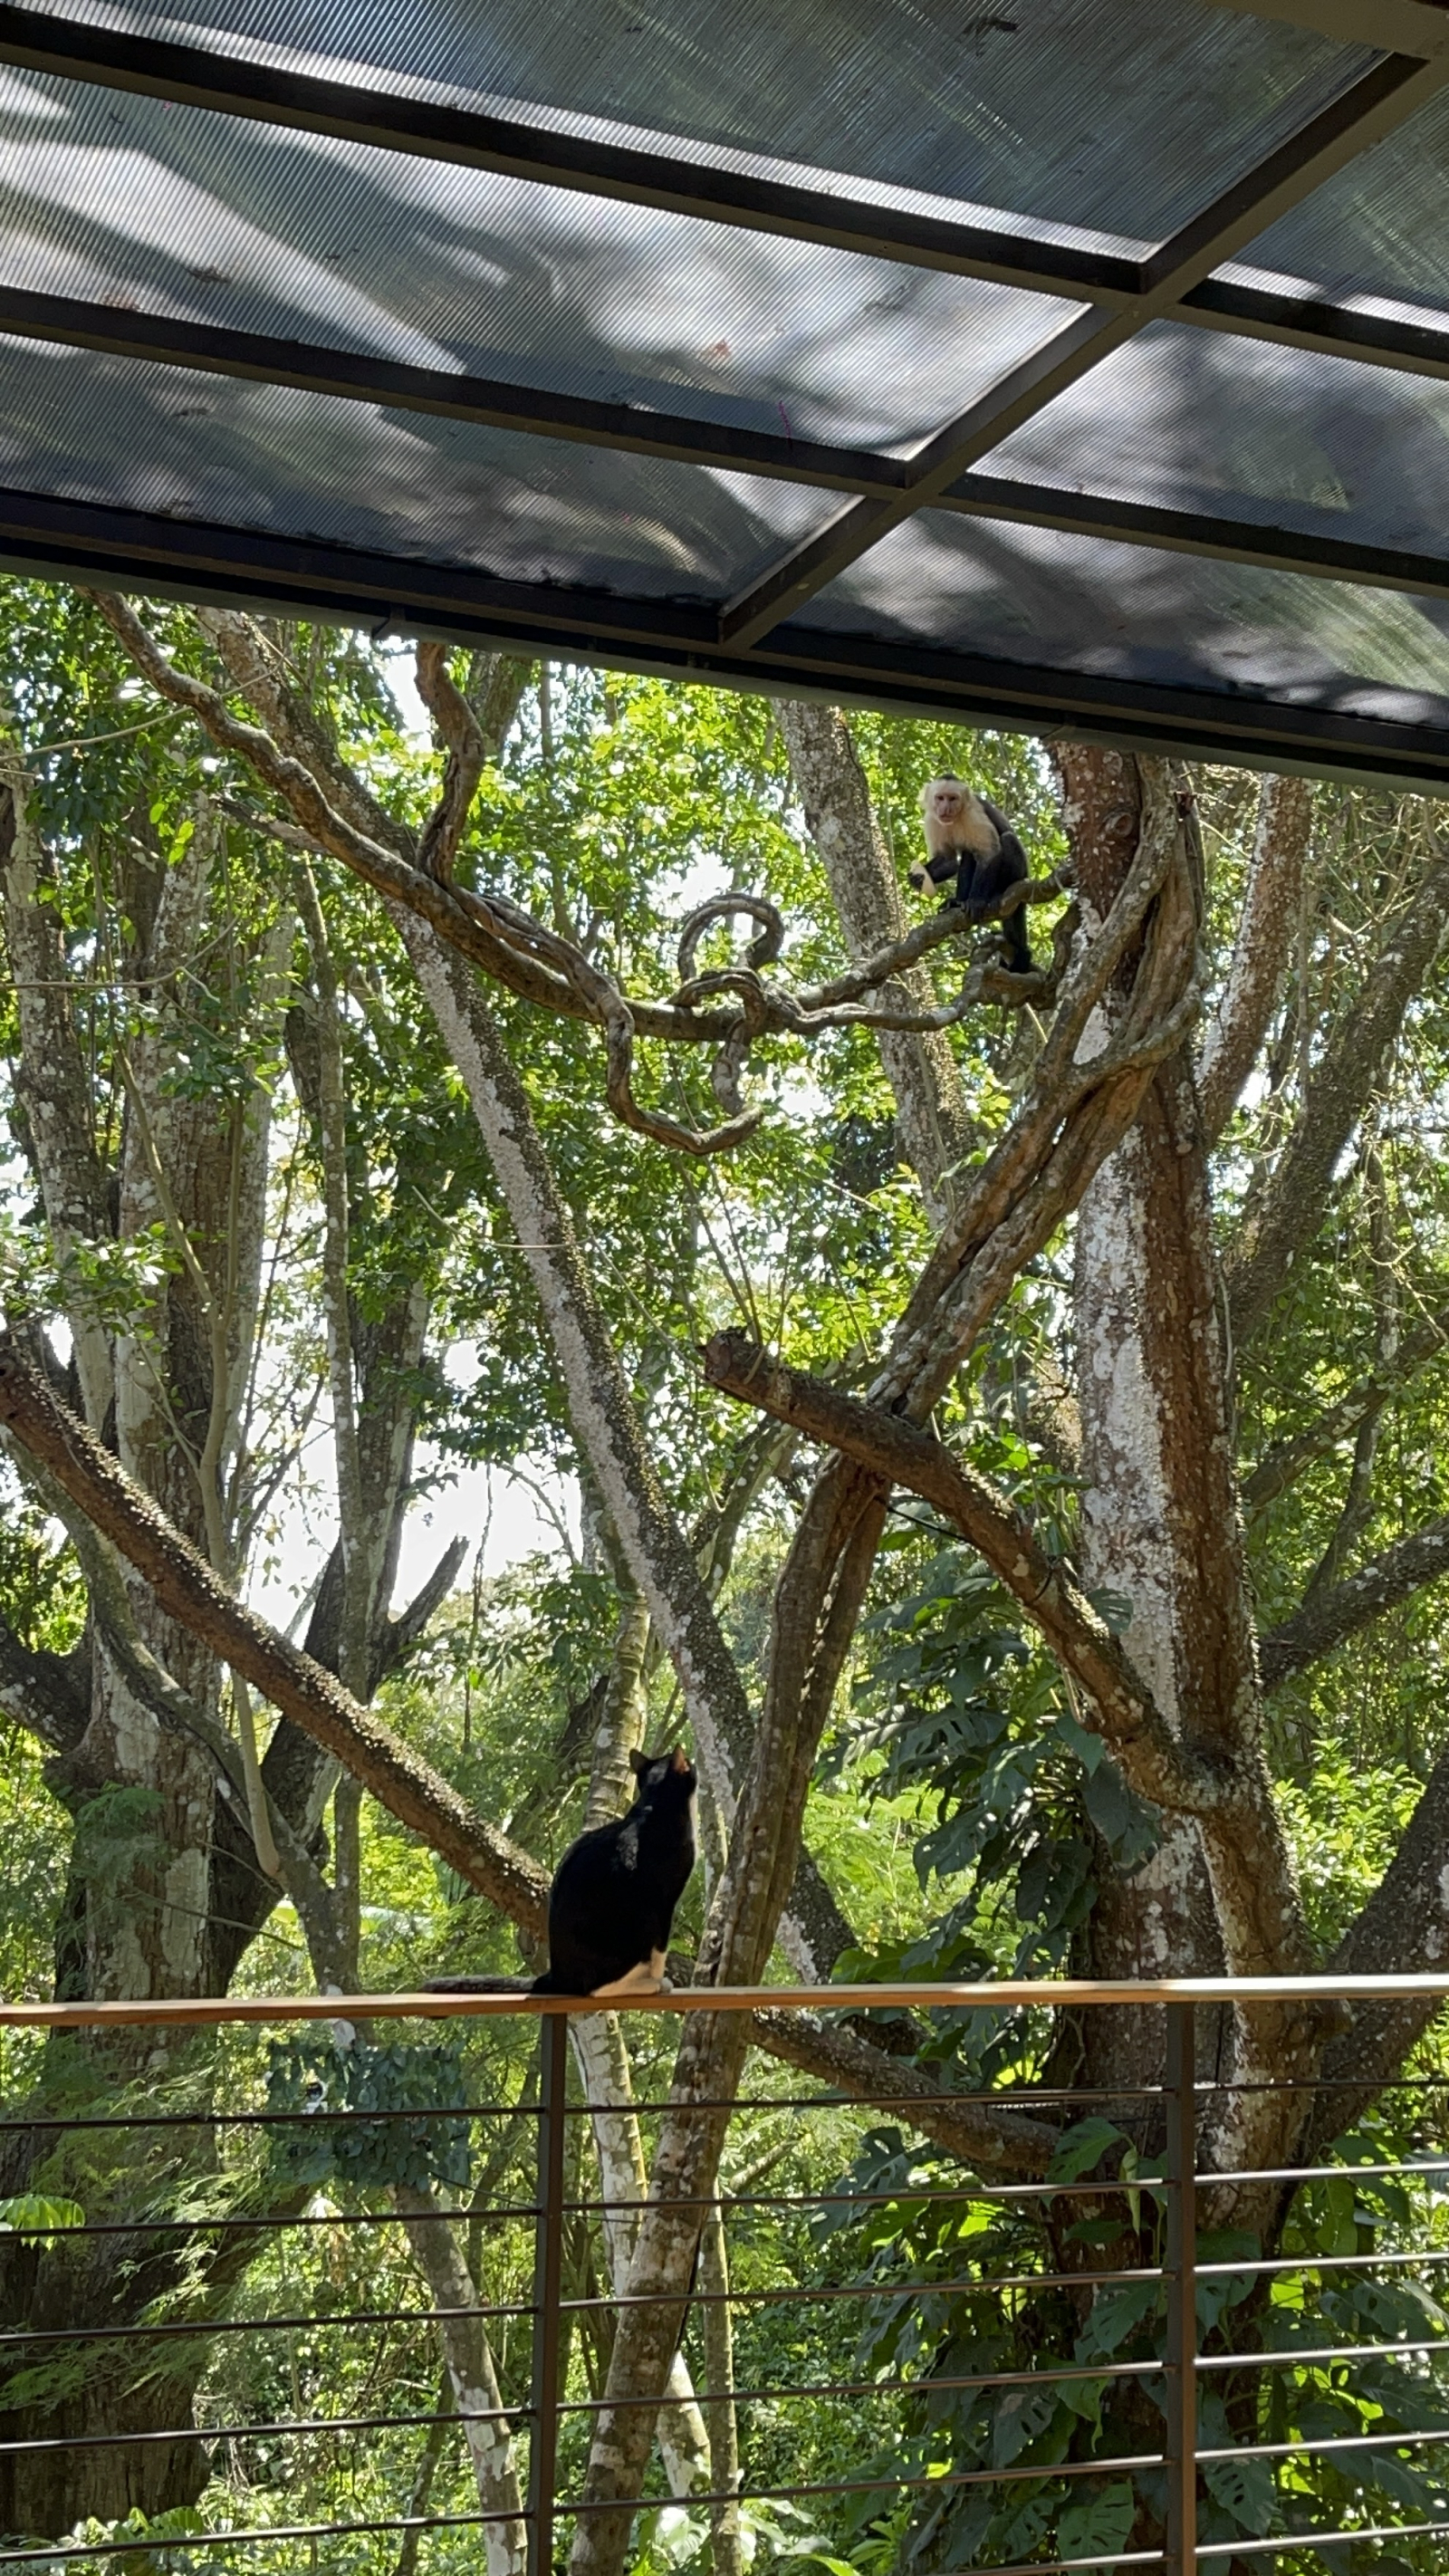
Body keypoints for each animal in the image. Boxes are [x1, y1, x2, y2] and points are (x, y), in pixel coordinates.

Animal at [427, 1747, 697, 1999]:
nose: (692, 1761)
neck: (652, 1807)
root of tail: (557, 1977)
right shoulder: (664, 1903)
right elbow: (661, 1951)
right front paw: (659, 1980)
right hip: (637, 1924)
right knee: (596, 1988)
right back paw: (650, 1985)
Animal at [910, 774, 1033, 972]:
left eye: (952, 799)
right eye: (940, 798)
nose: (945, 808)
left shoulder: (974, 813)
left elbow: (990, 853)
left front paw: (976, 901)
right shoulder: (932, 819)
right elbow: (948, 861)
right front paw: (918, 877)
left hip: (1020, 872)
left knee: (1006, 839)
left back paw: (997, 893)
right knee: (969, 854)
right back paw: (957, 902)